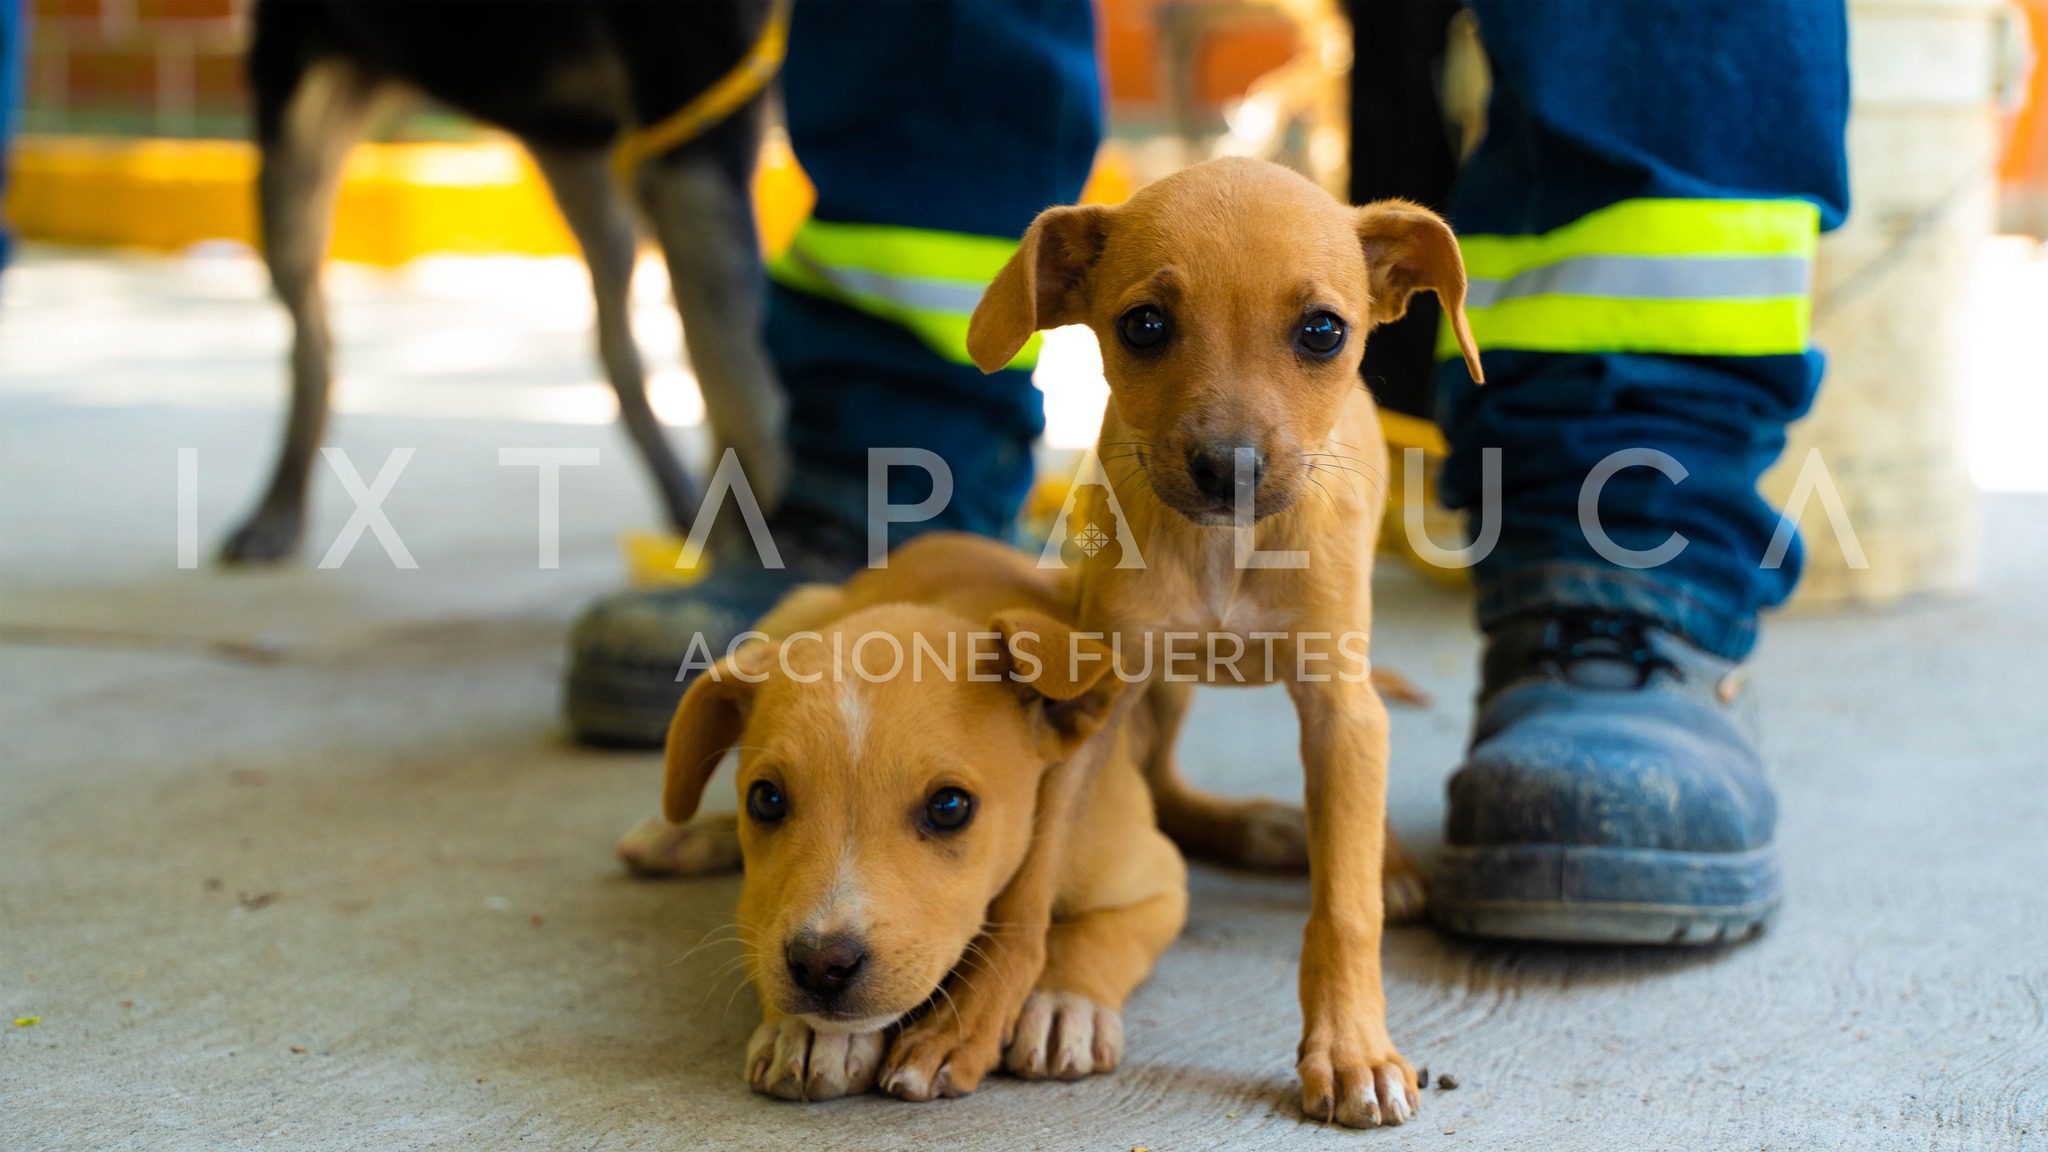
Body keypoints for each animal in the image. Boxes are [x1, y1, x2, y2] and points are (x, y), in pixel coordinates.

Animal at [638, 528, 1187, 1090]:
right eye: (767, 799)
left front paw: (1062, 1006)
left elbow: (1097, 935)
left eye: (949, 806)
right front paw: (807, 1032)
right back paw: (683, 837)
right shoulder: (760, 903)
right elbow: (763, 933)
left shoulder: (1158, 881)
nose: (821, 965)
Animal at [872, 152, 1482, 1123]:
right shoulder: (1092, 709)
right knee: (1163, 782)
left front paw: (1351, 1049)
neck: (1225, 553)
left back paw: (1371, 856)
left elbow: (1345, 904)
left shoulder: (1338, 705)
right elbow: (1029, 890)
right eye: (1145, 325)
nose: (1229, 467)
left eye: (1322, 331)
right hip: (1161, 692)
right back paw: (1253, 828)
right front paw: (966, 1025)